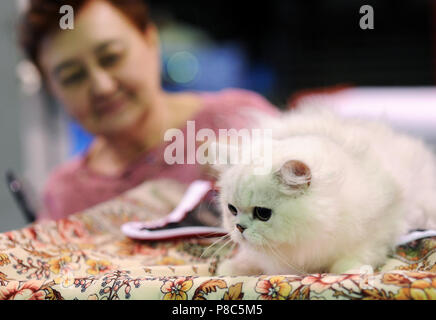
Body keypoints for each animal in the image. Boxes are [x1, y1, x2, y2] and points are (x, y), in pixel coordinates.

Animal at [216, 107, 436, 276]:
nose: (239, 227)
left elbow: (352, 257)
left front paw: (355, 271)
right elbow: (248, 259)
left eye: (263, 213)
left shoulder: (378, 227)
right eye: (232, 209)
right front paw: (230, 268)